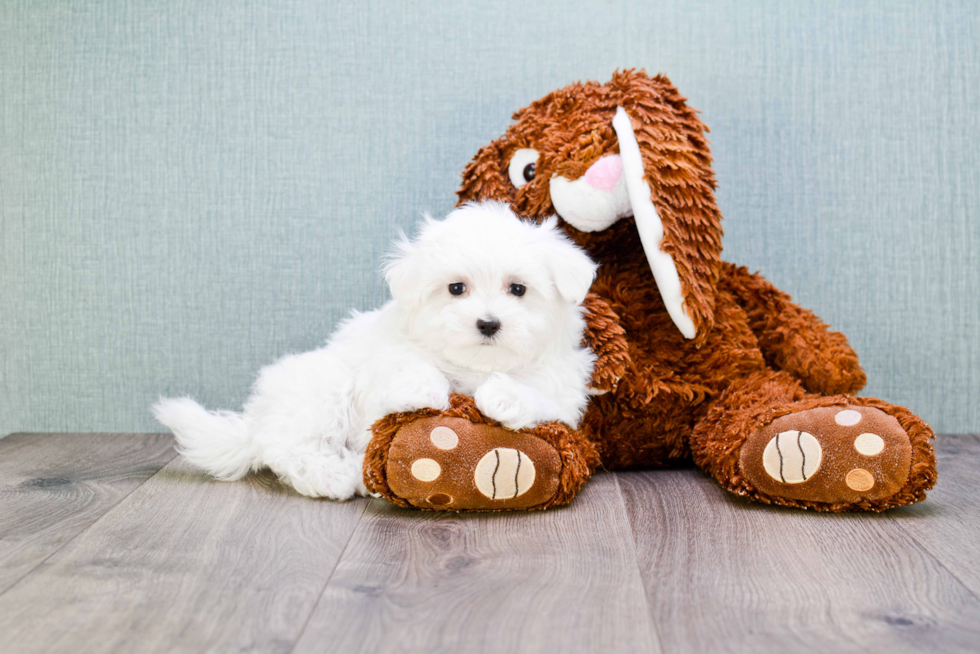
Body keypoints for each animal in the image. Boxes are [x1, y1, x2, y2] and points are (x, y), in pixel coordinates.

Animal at [153, 202, 596, 500]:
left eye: (518, 289)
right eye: (456, 288)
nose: (488, 323)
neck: (476, 367)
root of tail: (257, 421)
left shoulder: (563, 393)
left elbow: (539, 394)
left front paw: (504, 396)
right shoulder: (386, 360)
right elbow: (404, 369)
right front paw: (423, 388)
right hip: (321, 387)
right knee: (291, 448)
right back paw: (339, 476)